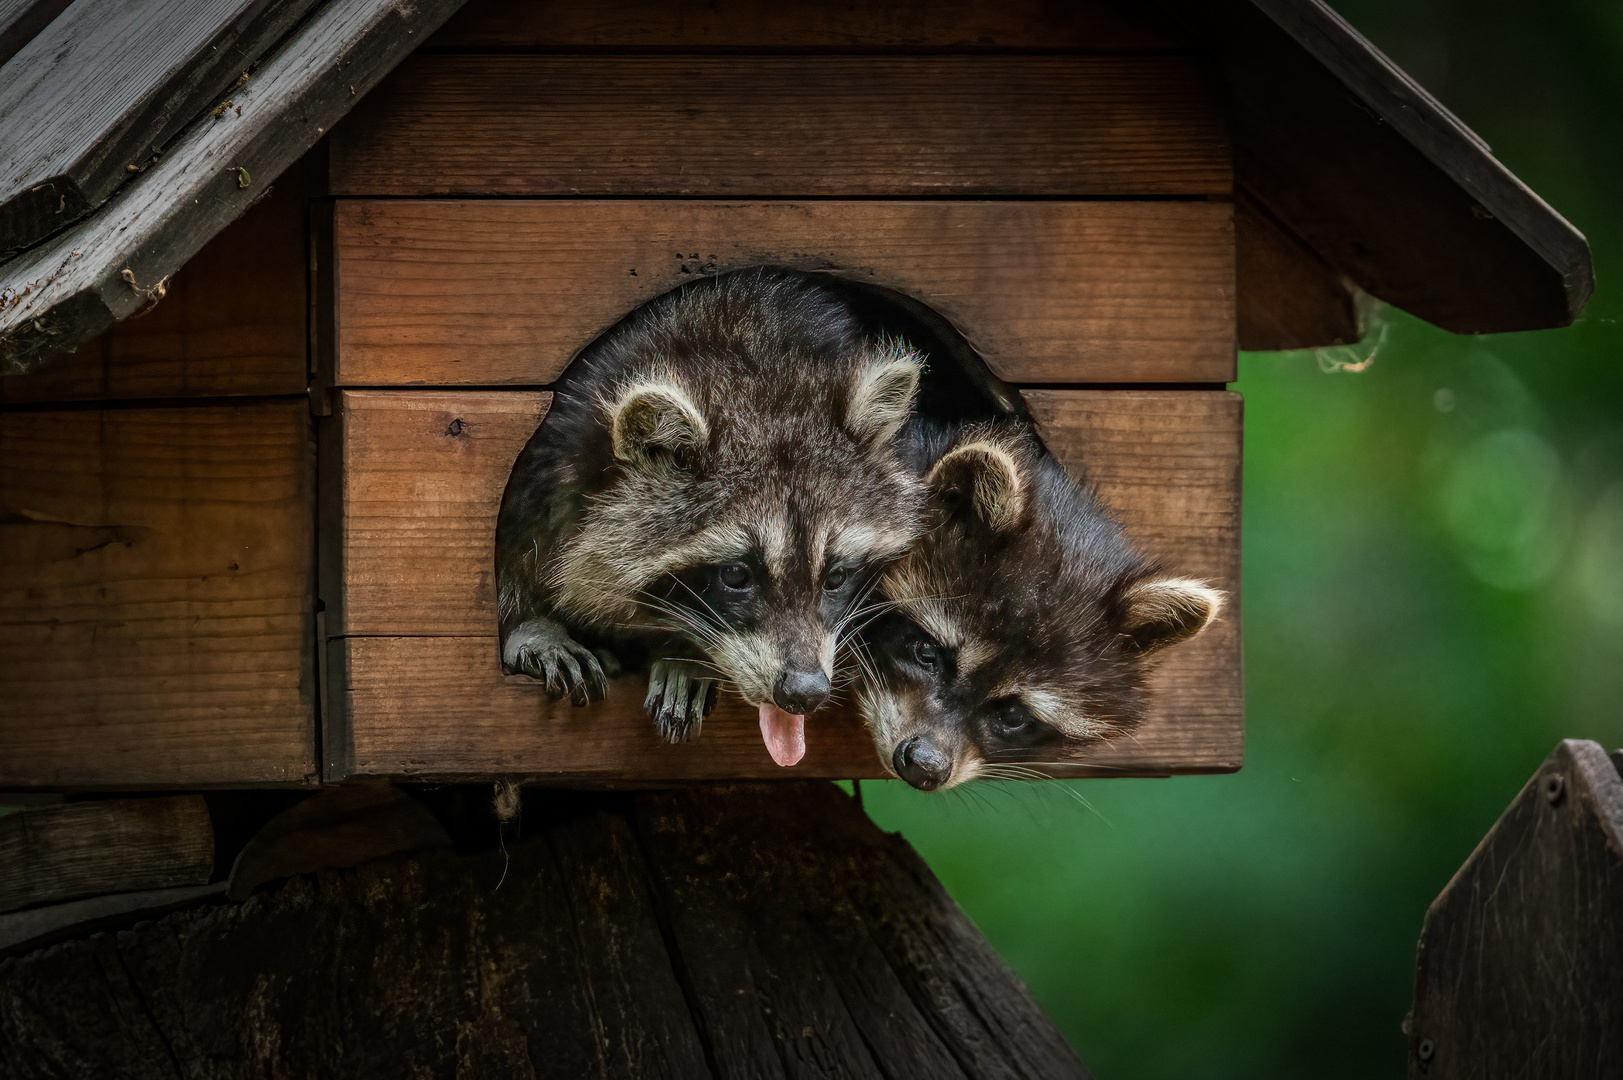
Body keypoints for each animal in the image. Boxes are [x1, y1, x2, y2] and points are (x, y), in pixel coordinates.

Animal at [493, 266, 928, 763]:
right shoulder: (562, 440)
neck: (752, 354)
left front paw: (683, 658)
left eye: (836, 576)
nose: (805, 692)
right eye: (736, 574)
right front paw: (529, 624)